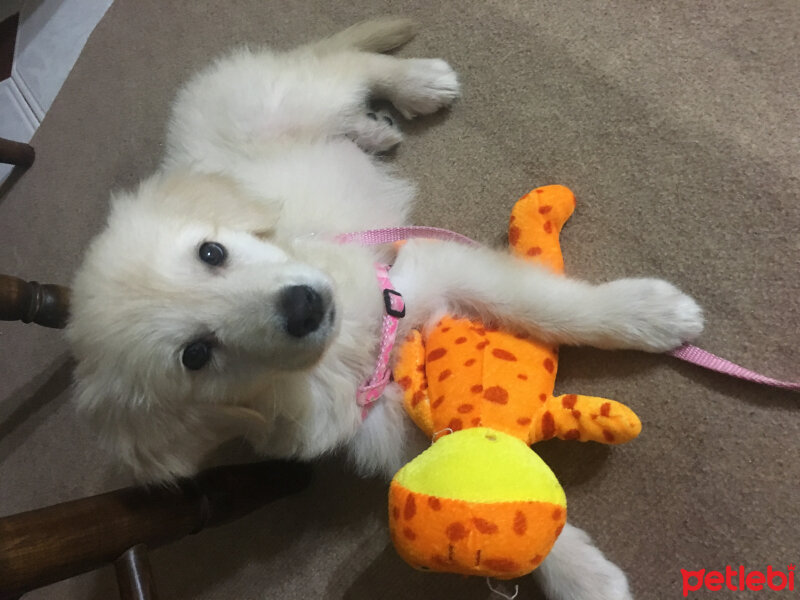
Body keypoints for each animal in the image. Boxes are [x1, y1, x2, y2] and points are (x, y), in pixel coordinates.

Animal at [69, 17, 704, 600]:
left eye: (211, 252)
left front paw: (651, 314)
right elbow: (480, 475)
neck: (353, 346)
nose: (304, 305)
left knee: (346, 65)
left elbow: (556, 306)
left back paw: (419, 82)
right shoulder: (383, 419)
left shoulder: (423, 273)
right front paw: (576, 572)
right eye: (196, 355)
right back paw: (375, 130)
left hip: (294, 95)